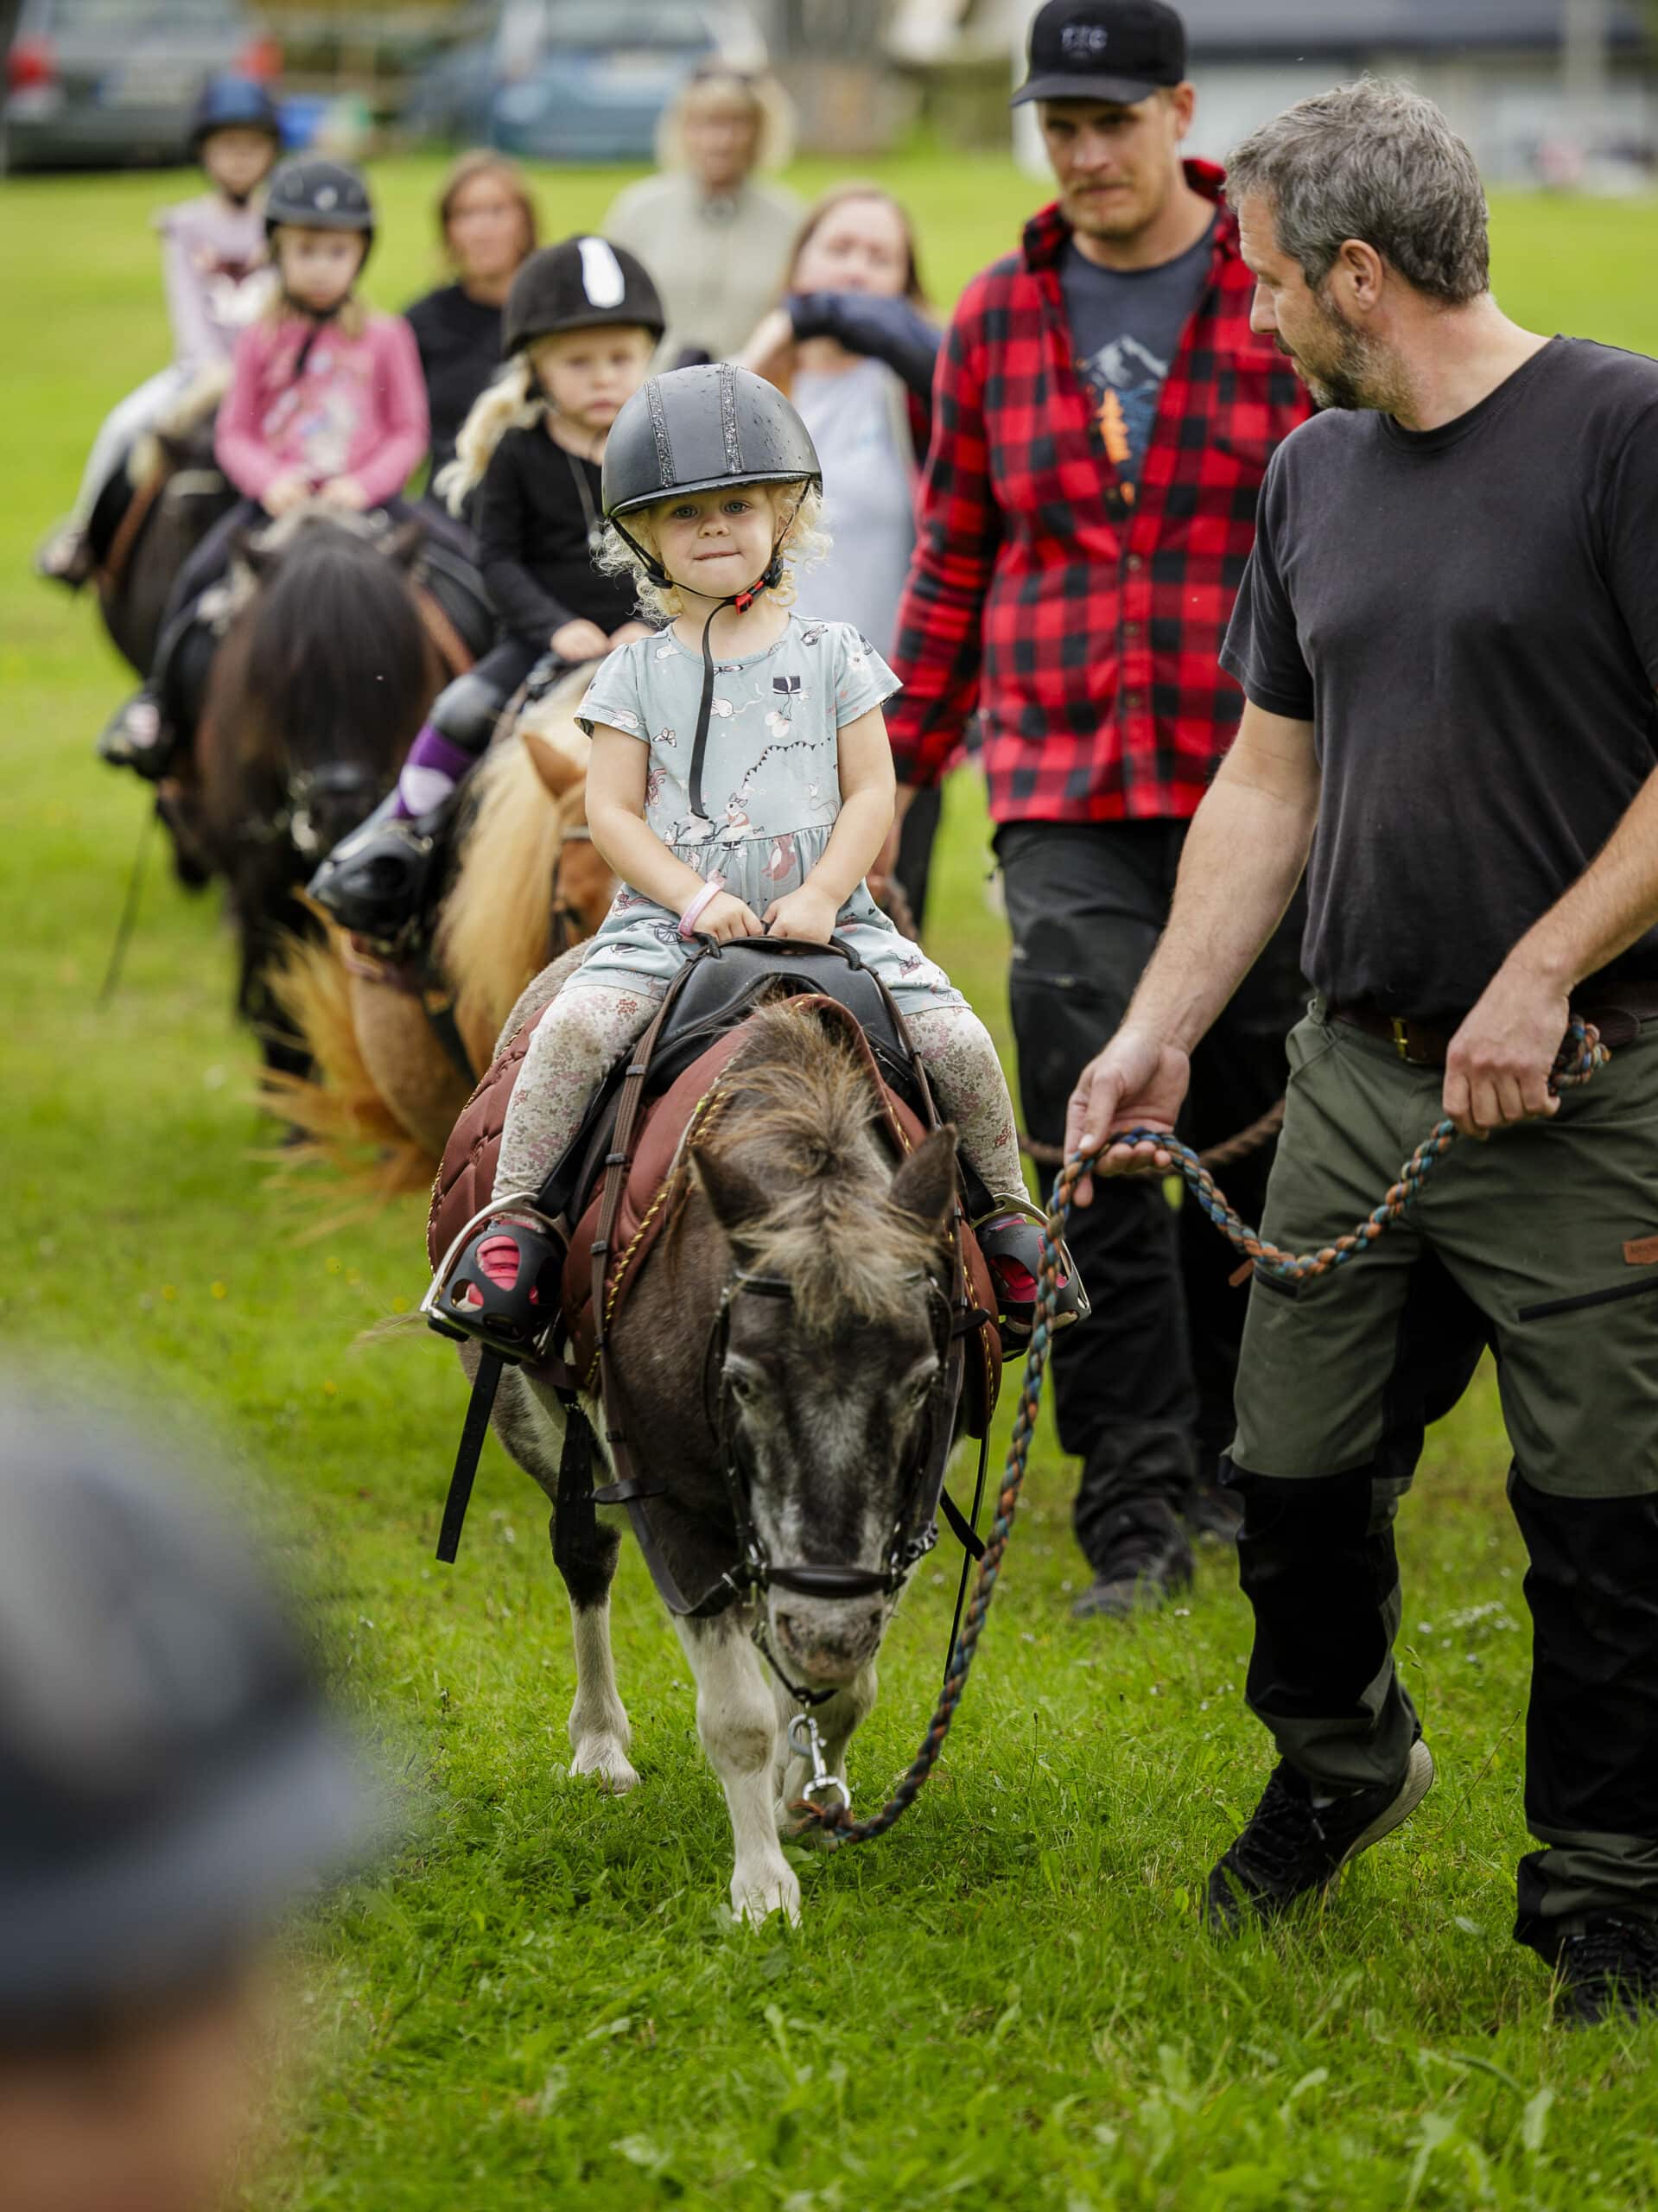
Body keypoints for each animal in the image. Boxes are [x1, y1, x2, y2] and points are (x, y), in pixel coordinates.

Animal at [470, 995, 959, 1929]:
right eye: (741, 1380)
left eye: (922, 1382)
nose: (827, 1627)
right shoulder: (673, 1509)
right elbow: (738, 1717)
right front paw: (762, 1889)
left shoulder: (901, 1521)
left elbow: (843, 1689)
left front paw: (801, 1801)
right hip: (546, 1423)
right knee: (583, 1555)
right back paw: (600, 1746)